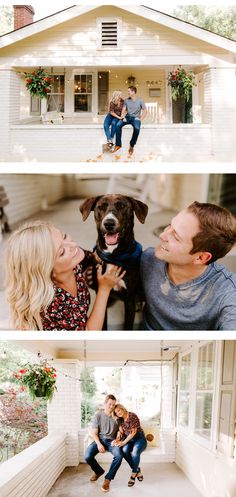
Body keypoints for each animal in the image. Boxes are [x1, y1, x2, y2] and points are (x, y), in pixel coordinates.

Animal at [80, 194, 148, 330]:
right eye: (101, 207)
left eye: (121, 206)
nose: (109, 223)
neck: (113, 255)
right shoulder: (102, 296)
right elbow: (103, 325)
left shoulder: (129, 300)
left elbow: (128, 326)